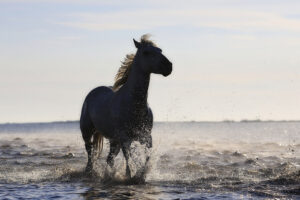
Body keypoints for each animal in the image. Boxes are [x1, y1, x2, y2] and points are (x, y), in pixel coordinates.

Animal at [79, 35, 172, 177]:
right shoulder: (125, 139)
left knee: (109, 159)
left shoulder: (146, 137)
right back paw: (90, 171)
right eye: (146, 52)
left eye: (160, 50)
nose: (169, 66)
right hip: (87, 132)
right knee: (90, 154)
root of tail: (93, 92)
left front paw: (141, 174)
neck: (134, 105)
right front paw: (130, 175)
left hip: (114, 140)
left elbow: (147, 157)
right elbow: (129, 159)